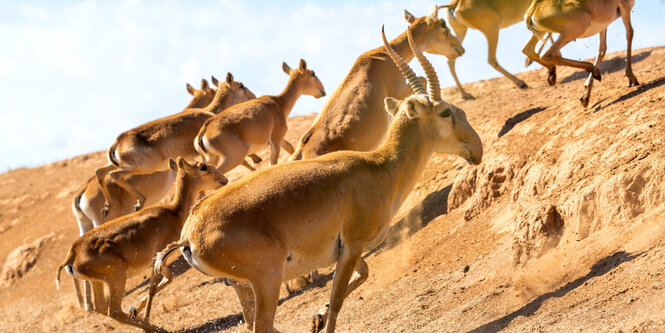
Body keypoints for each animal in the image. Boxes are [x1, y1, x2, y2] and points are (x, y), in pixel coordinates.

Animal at [55, 158, 226, 332]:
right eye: (203, 167)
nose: (224, 180)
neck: (174, 212)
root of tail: (72, 255)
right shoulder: (158, 259)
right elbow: (153, 288)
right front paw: (141, 315)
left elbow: (166, 280)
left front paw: (135, 310)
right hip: (117, 278)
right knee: (114, 311)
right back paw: (155, 328)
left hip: (98, 281)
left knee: (101, 307)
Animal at [94, 72, 255, 214]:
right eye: (241, 85)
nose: (253, 96)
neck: (209, 112)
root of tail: (117, 143)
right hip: (144, 167)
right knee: (115, 175)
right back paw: (139, 202)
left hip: (122, 165)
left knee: (100, 171)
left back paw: (107, 208)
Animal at [193, 59, 326, 174]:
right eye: (312, 73)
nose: (323, 91)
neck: (278, 102)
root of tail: (204, 130)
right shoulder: (275, 141)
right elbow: (273, 163)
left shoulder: (279, 139)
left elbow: (290, 148)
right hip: (233, 158)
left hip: (212, 159)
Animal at [288, 6, 464, 160]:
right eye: (443, 24)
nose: (461, 49)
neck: (381, 56)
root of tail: (303, 152)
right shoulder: (399, 89)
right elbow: (422, 79)